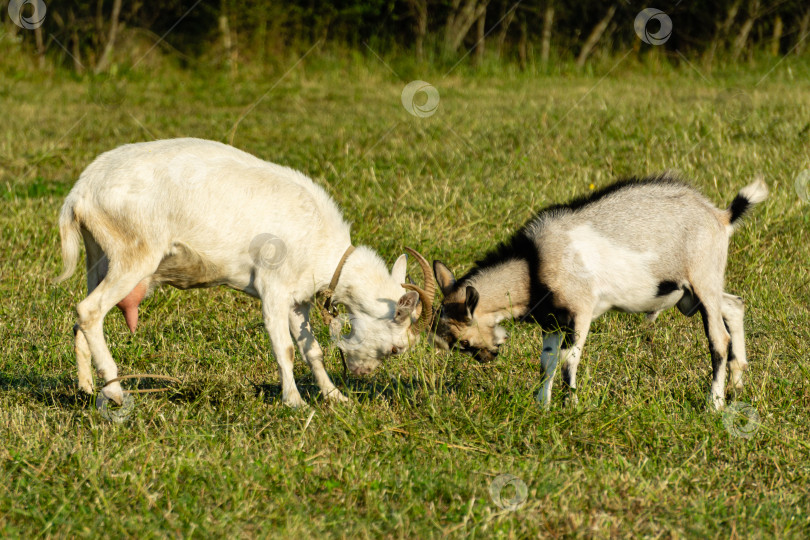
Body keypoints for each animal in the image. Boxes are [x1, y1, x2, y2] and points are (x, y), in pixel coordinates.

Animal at [56, 137, 436, 408]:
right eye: (396, 349)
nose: (361, 374)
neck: (321, 243)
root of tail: (80, 192)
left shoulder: (299, 299)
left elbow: (311, 349)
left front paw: (334, 397)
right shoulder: (273, 289)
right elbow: (284, 348)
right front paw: (295, 402)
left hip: (99, 254)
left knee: (82, 315)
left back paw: (87, 388)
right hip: (134, 254)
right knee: (89, 310)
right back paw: (115, 392)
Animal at [432, 177, 768, 410]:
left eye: (463, 342)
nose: (487, 357)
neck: (533, 264)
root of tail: (720, 216)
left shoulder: (581, 311)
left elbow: (569, 361)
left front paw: (572, 407)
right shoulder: (552, 322)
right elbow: (546, 363)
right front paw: (543, 406)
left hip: (703, 281)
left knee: (718, 340)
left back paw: (715, 403)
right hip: (693, 294)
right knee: (734, 305)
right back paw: (738, 382)